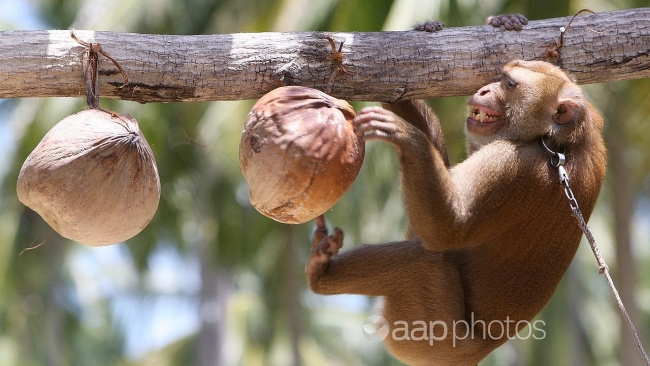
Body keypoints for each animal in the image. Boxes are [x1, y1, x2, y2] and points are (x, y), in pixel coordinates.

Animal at [306, 17, 604, 366]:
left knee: (422, 257)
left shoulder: (513, 164)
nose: (484, 89)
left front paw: (407, 137)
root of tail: (476, 352)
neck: (559, 144)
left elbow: (447, 229)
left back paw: (321, 276)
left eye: (509, 84)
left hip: (428, 332)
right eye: (500, 77)